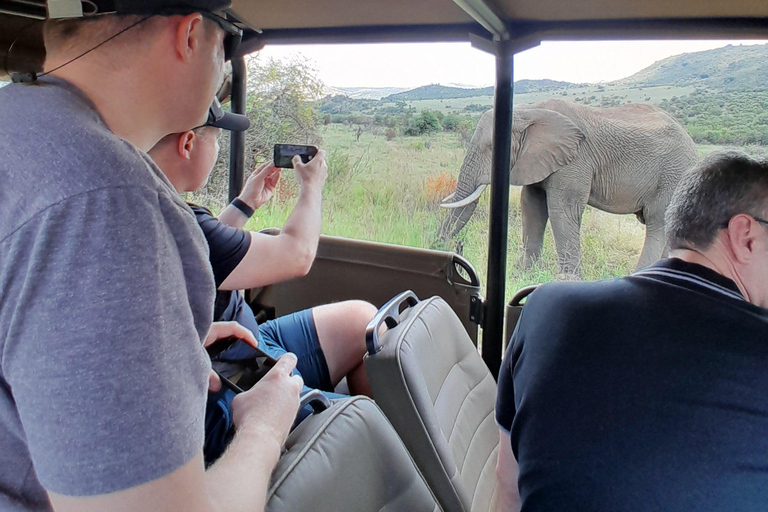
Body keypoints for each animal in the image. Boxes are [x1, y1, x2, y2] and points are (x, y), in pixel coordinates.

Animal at [438, 99, 696, 276]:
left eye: (491, 148)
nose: (451, 247)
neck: (529, 110)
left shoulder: (575, 160)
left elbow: (562, 208)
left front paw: (566, 279)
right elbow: (531, 206)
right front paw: (525, 273)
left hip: (674, 172)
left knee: (657, 221)